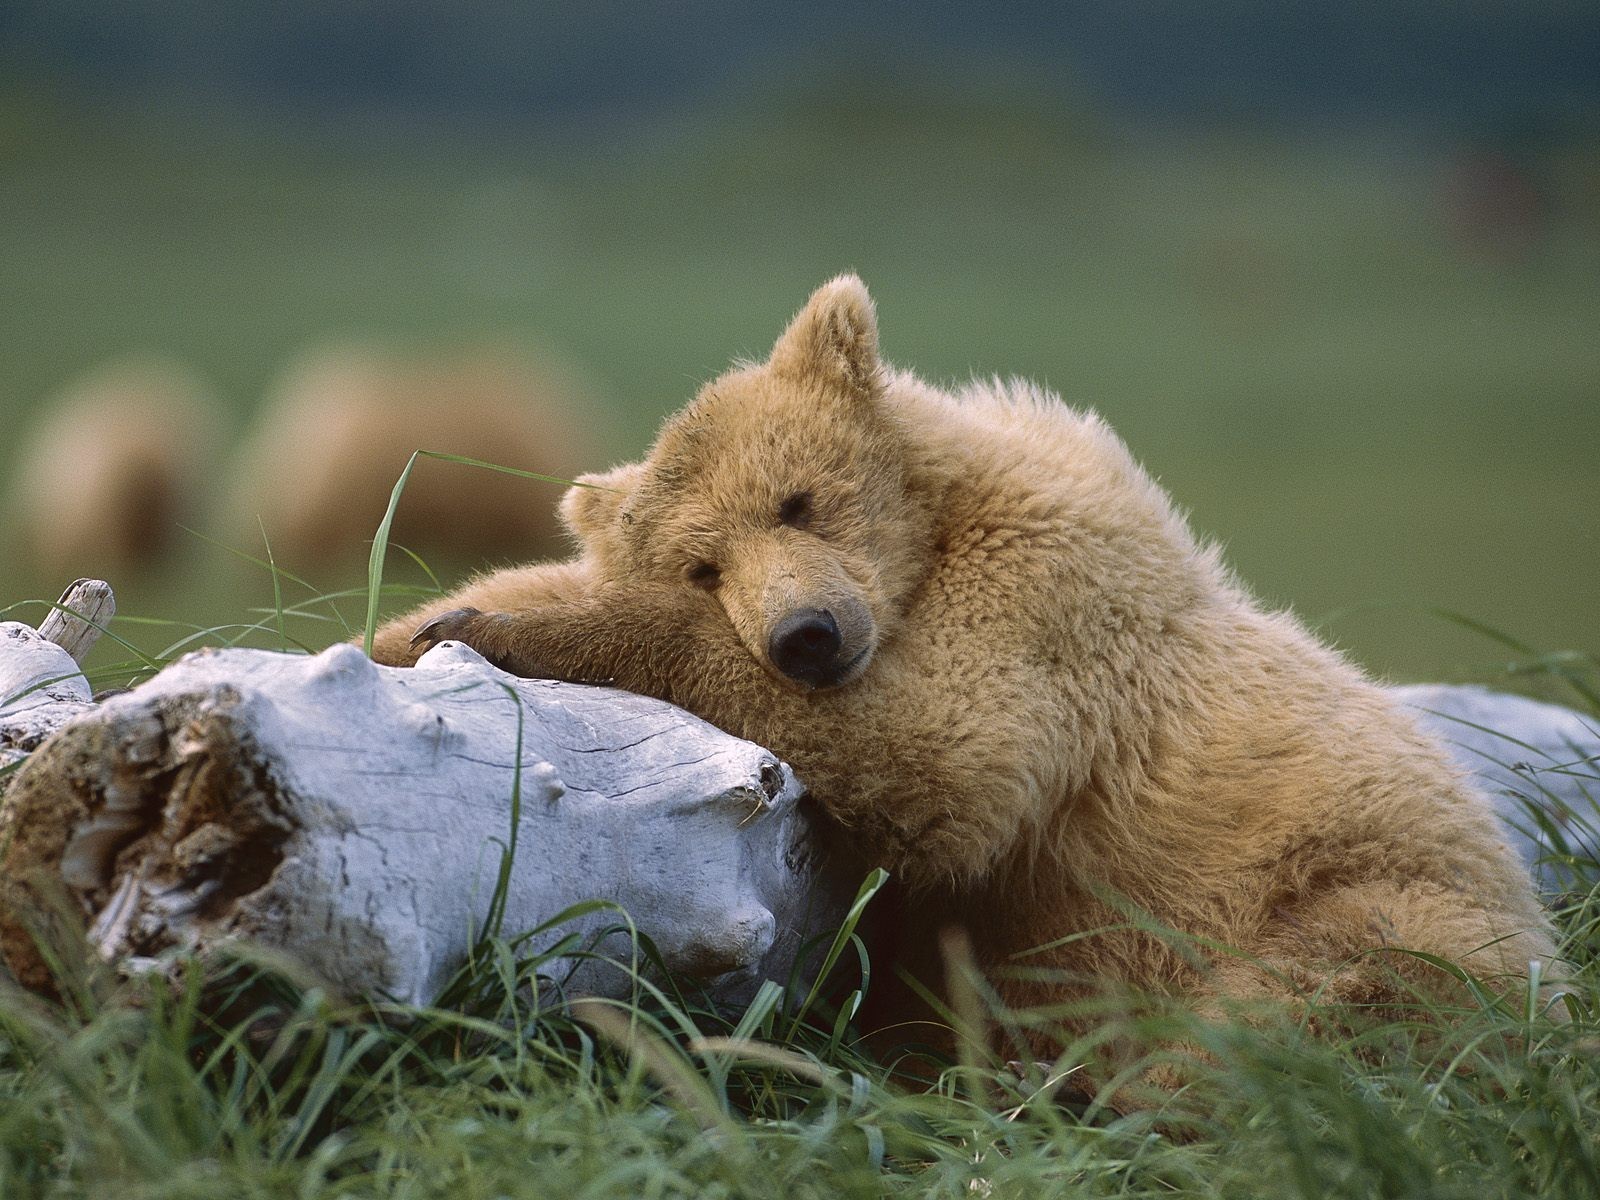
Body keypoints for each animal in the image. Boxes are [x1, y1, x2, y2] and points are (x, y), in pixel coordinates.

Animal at [370, 275, 1555, 1057]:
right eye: (705, 563)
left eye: (798, 500)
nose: (806, 637)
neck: (934, 535)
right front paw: (422, 622)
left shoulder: (1048, 601)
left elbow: (944, 751)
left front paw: (510, 630)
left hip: (1374, 895)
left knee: (1317, 1003)